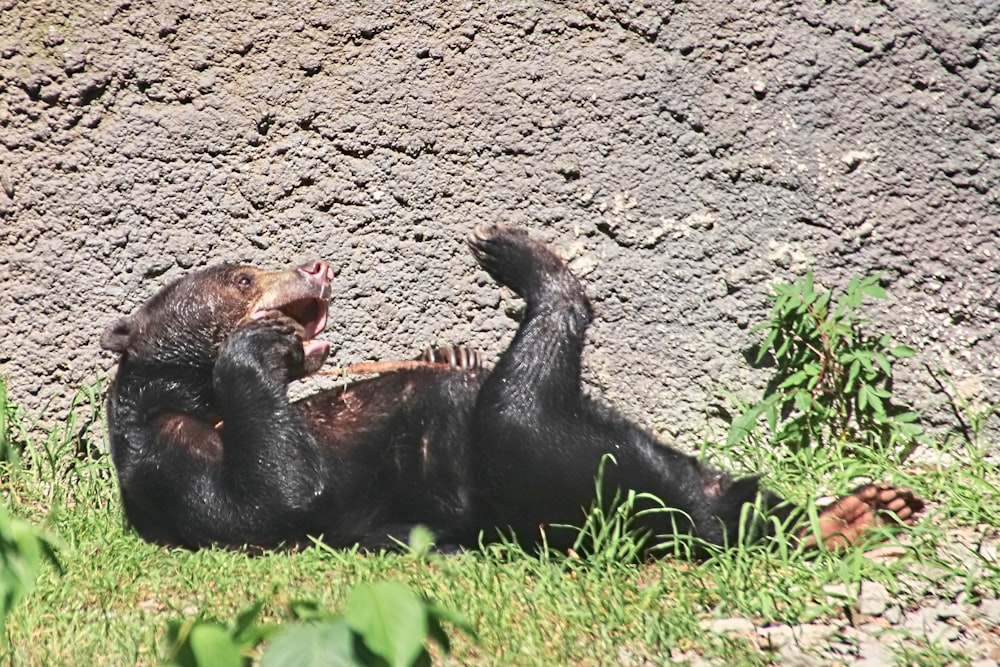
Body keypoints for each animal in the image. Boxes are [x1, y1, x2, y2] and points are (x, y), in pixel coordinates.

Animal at [101, 227, 920, 556]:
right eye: (243, 278)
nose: (317, 267)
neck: (189, 399)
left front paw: (448, 347)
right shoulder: (164, 455)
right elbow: (268, 499)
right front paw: (258, 349)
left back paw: (859, 509)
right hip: (530, 472)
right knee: (521, 412)